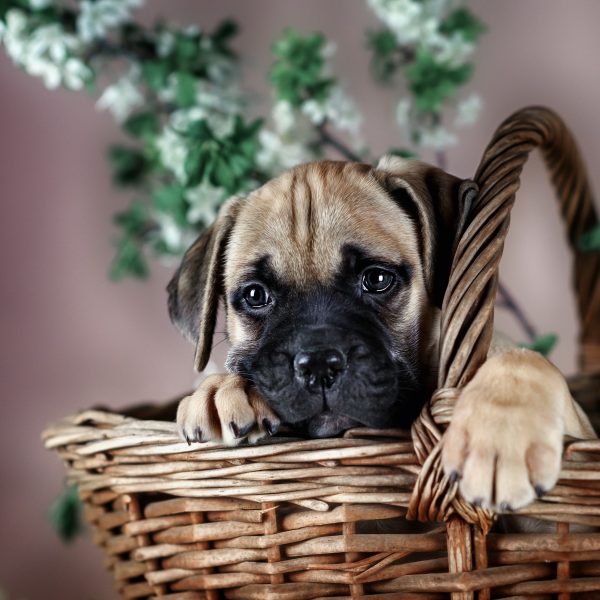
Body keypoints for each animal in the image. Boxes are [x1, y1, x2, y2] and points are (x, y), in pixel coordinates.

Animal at [166, 156, 592, 510]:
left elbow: (521, 358)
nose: (318, 363)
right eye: (256, 295)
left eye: (377, 279)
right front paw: (222, 389)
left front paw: (501, 434)